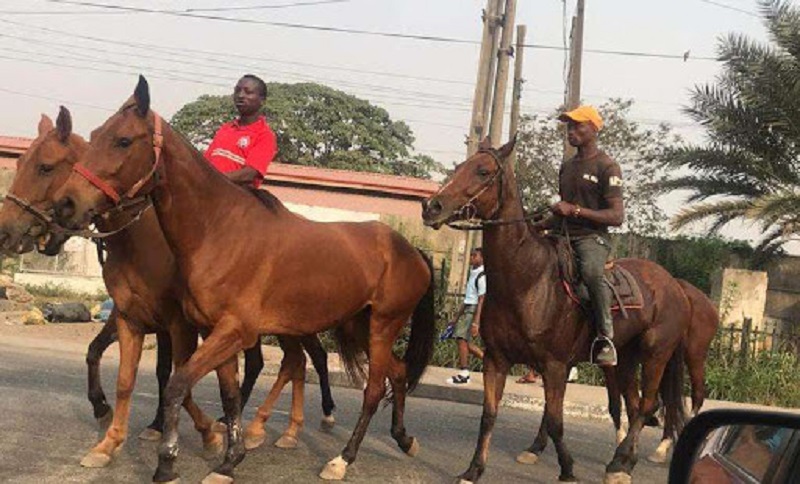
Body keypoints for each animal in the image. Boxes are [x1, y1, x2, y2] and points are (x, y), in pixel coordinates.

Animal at [0, 107, 336, 469]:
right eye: (20, 163)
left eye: (45, 167)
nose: (6, 231)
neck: (142, 240)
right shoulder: (134, 313)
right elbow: (108, 358)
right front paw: (114, 414)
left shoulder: (177, 321)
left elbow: (174, 375)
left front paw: (200, 433)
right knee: (288, 363)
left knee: (299, 360)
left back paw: (286, 424)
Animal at [52, 76, 436, 484]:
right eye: (95, 134)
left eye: (123, 140)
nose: (65, 204)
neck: (219, 230)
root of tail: (411, 250)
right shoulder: (213, 330)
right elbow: (229, 394)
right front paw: (229, 459)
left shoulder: (232, 330)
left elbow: (176, 385)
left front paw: (168, 462)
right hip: (357, 326)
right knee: (397, 373)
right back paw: (404, 438)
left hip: (382, 326)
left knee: (373, 389)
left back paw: (342, 459)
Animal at [422, 137, 689, 484]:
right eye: (458, 167)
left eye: (483, 171)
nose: (432, 207)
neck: (526, 280)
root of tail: (674, 285)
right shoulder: (497, 360)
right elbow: (489, 415)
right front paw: (474, 469)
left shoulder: (555, 365)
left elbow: (555, 420)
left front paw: (568, 469)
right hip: (626, 359)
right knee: (634, 405)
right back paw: (624, 461)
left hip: (656, 354)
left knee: (645, 405)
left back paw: (619, 465)